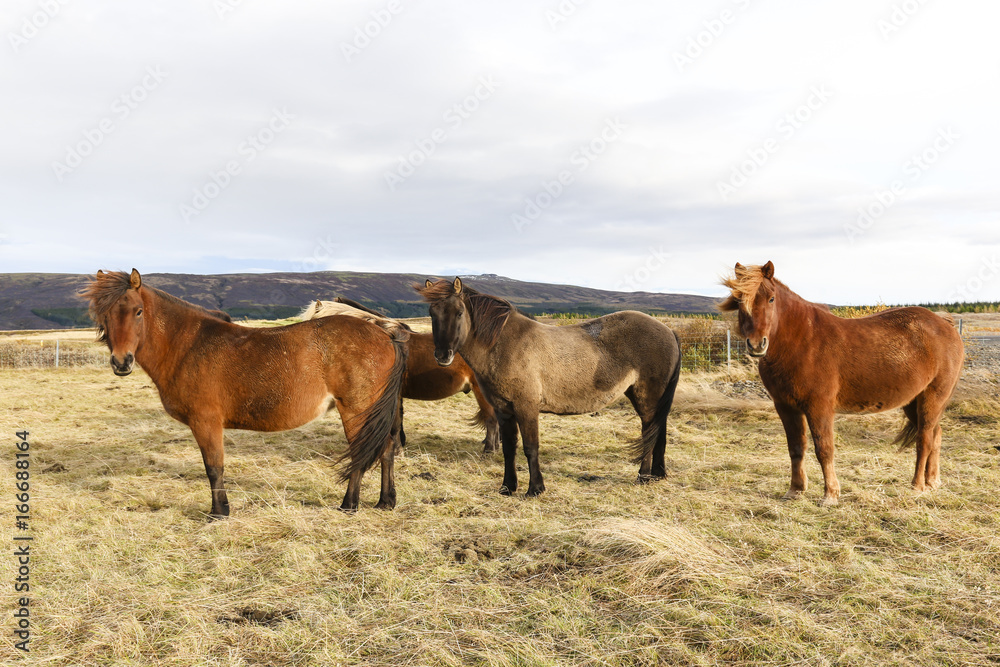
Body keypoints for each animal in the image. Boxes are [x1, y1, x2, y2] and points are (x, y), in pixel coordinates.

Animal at [83, 270, 410, 516]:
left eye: (138, 311)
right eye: (104, 315)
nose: (121, 362)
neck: (188, 346)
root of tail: (386, 333)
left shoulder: (206, 422)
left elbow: (214, 467)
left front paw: (219, 512)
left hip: (358, 411)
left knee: (363, 453)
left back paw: (349, 505)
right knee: (386, 450)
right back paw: (385, 501)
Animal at [412, 276, 680, 496]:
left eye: (459, 312)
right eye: (432, 312)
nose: (442, 356)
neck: (504, 345)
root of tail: (668, 331)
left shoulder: (526, 407)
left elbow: (531, 448)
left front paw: (535, 489)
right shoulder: (503, 409)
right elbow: (509, 448)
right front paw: (507, 487)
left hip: (647, 397)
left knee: (649, 433)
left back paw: (643, 476)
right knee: (659, 431)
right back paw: (658, 474)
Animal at [724, 260, 964, 506]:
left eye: (771, 298)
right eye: (738, 300)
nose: (756, 345)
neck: (801, 341)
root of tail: (944, 324)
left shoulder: (819, 407)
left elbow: (824, 449)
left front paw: (830, 495)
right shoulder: (785, 407)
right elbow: (796, 448)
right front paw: (795, 490)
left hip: (932, 398)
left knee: (924, 439)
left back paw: (917, 486)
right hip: (912, 402)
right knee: (935, 434)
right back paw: (932, 482)